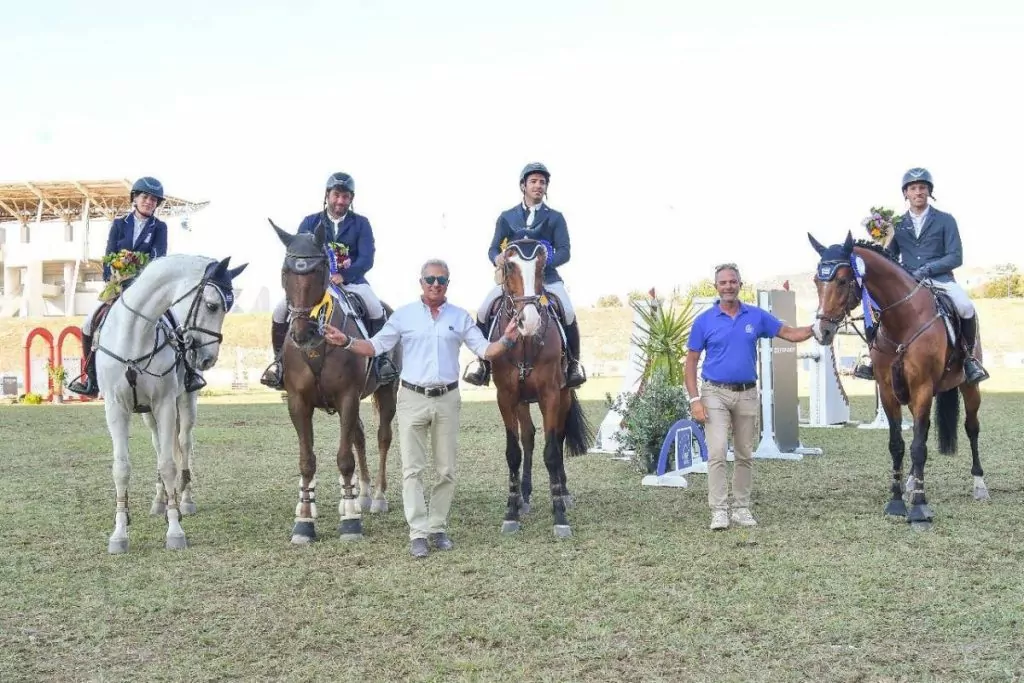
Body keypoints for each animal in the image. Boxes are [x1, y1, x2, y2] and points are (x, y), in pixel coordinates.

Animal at [94, 253, 249, 552]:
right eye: (212, 305)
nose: (208, 359)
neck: (135, 336)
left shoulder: (165, 404)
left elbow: (169, 465)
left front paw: (175, 529)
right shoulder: (116, 408)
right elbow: (122, 468)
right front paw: (119, 533)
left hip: (186, 403)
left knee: (184, 444)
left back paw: (184, 500)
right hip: (147, 414)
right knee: (158, 446)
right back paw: (160, 501)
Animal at [270, 219, 401, 544]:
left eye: (318, 271)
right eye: (285, 271)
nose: (302, 333)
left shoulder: (348, 397)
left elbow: (344, 459)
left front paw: (351, 521)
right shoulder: (298, 403)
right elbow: (307, 461)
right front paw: (304, 521)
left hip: (386, 391)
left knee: (382, 437)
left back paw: (376, 497)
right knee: (359, 437)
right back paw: (358, 494)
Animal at [481, 237, 598, 536]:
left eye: (542, 267)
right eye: (509, 266)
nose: (529, 322)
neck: (524, 342)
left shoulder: (550, 396)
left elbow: (552, 452)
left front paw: (560, 515)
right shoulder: (506, 397)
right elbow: (514, 452)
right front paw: (511, 512)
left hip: (564, 396)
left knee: (558, 437)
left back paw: (563, 493)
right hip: (522, 401)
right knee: (529, 438)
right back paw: (524, 495)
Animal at [806, 232, 983, 532]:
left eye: (842, 280)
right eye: (817, 281)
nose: (822, 331)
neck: (904, 320)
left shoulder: (922, 388)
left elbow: (919, 447)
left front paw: (919, 508)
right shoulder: (889, 391)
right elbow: (898, 445)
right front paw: (897, 501)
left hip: (969, 388)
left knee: (971, 428)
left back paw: (980, 484)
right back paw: (912, 482)